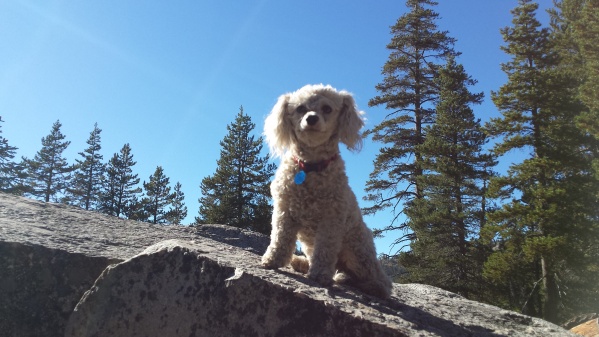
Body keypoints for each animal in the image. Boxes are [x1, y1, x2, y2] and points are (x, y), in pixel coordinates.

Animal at [262, 83, 394, 296]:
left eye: (327, 109)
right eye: (300, 108)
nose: (311, 118)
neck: (311, 165)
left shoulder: (331, 219)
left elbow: (325, 249)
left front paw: (320, 275)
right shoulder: (284, 210)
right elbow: (280, 237)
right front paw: (272, 260)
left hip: (357, 249)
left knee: (381, 283)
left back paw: (353, 280)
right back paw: (301, 263)